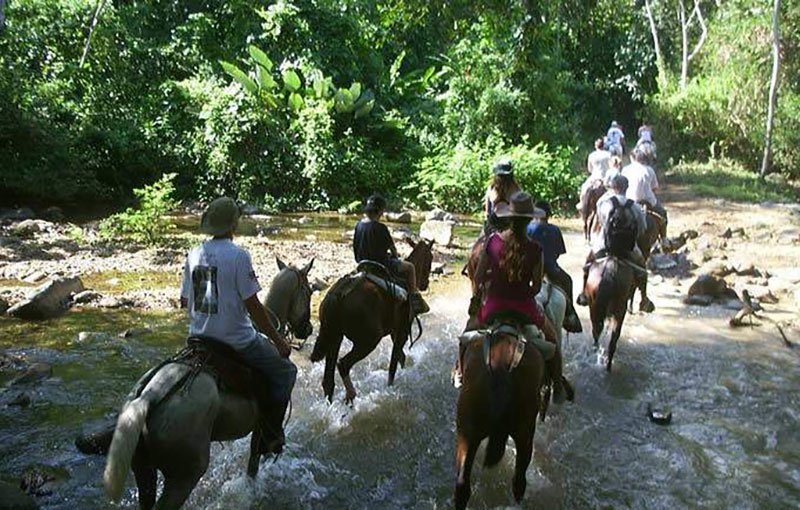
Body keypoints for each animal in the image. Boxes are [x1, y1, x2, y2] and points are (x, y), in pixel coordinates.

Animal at [101, 258, 312, 510]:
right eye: (309, 292)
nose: (308, 329)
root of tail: (149, 396)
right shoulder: (261, 427)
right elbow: (253, 464)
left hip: (144, 471)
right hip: (184, 477)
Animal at [308, 237, 432, 404]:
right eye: (430, 258)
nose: (425, 284)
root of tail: (339, 294)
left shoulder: (394, 332)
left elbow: (400, 357)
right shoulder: (402, 331)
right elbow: (394, 365)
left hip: (335, 338)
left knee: (328, 381)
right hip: (368, 342)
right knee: (343, 364)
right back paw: (351, 394)